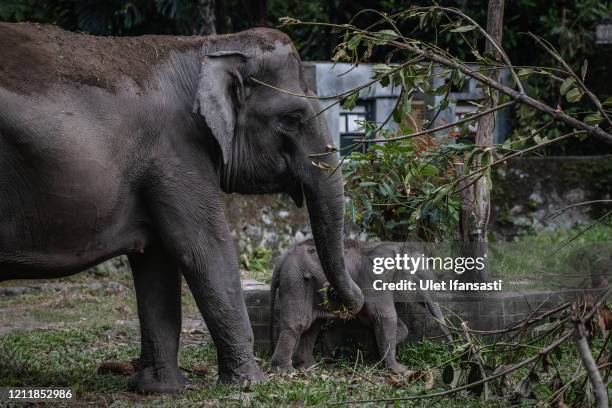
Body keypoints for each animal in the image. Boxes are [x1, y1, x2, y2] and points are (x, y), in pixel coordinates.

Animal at [0, 23, 364, 394]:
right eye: (292, 119)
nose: (337, 301)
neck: (205, 47)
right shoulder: (175, 153)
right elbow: (204, 248)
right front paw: (250, 384)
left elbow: (157, 260)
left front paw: (158, 389)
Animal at [270, 239, 452, 376]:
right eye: (419, 279)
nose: (453, 346)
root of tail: (281, 261)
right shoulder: (373, 279)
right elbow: (386, 316)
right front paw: (401, 370)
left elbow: (377, 318)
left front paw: (377, 355)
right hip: (295, 282)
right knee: (299, 324)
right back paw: (286, 371)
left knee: (313, 325)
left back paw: (310, 366)